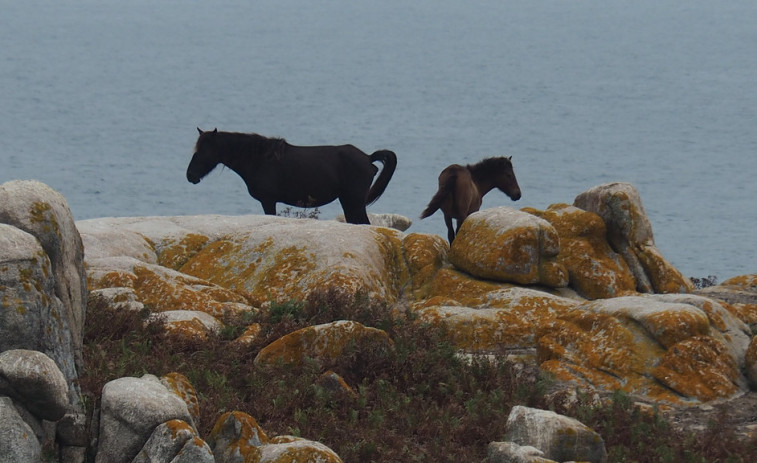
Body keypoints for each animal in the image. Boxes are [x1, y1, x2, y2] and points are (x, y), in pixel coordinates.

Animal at [186, 129, 396, 225]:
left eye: (204, 151)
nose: (190, 176)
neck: (259, 159)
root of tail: (368, 157)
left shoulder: (268, 200)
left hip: (354, 202)